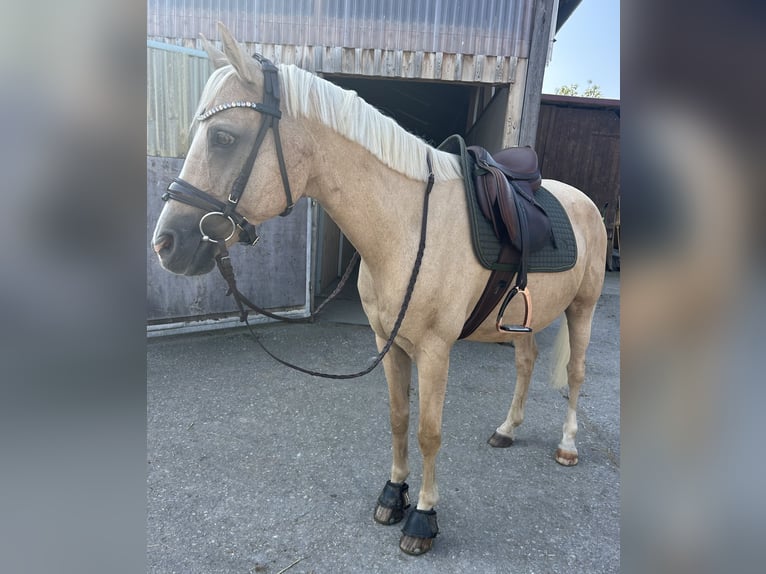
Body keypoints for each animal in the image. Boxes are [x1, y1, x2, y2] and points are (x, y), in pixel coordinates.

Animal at [151, 23, 607, 556]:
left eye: (223, 137)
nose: (166, 243)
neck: (406, 225)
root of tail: (583, 201)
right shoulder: (389, 342)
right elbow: (398, 418)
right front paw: (393, 494)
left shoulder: (434, 350)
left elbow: (429, 432)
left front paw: (423, 518)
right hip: (521, 320)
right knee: (526, 362)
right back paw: (507, 429)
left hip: (583, 309)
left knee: (575, 374)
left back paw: (568, 445)